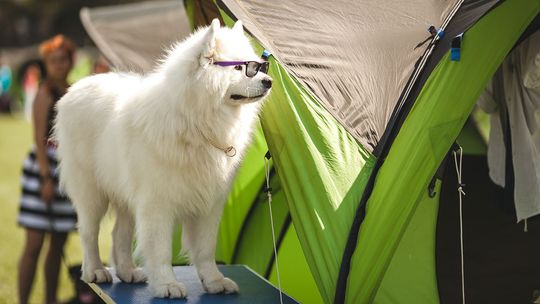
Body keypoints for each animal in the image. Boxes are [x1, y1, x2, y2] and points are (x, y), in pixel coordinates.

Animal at [54, 18, 272, 296]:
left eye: (258, 66)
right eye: (240, 68)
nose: (269, 81)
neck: (195, 121)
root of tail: (77, 86)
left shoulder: (210, 203)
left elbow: (205, 248)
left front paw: (214, 281)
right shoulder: (157, 203)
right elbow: (160, 250)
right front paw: (167, 284)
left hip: (125, 195)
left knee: (119, 234)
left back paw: (127, 271)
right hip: (92, 192)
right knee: (88, 233)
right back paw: (95, 271)